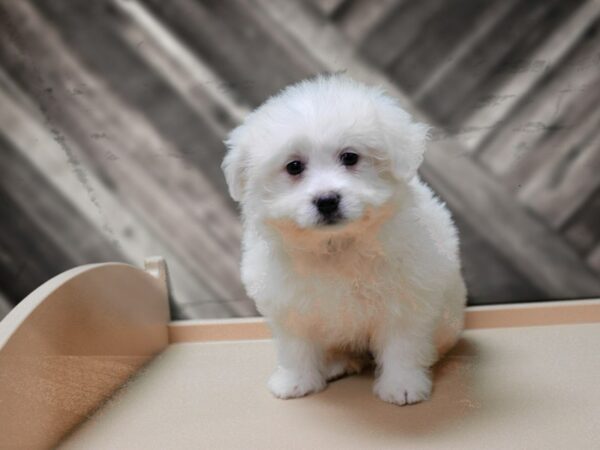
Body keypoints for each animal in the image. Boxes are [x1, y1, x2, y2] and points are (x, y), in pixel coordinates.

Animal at [223, 75, 466, 406]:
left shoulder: (407, 298)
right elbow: (296, 347)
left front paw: (402, 385)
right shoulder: (290, 306)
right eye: (294, 166)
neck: (336, 244)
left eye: (350, 157)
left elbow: (403, 344)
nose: (326, 200)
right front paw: (295, 381)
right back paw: (337, 363)